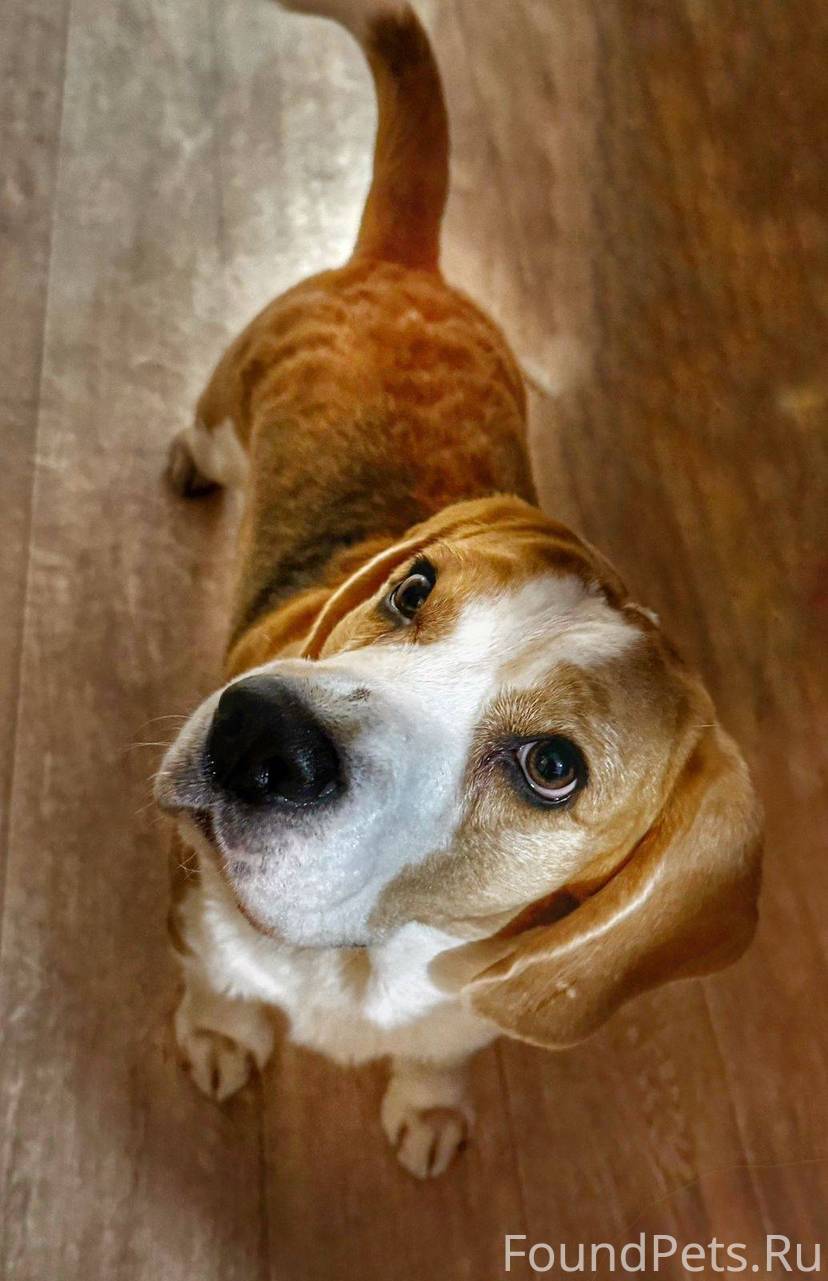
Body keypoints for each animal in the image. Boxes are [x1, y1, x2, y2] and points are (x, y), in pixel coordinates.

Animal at [156, 0, 762, 1179]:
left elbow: (439, 1055)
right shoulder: (198, 917)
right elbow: (222, 988)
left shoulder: (467, 1009)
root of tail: (404, 265)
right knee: (206, 424)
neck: (361, 959)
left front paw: (429, 1105)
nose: (257, 731)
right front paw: (221, 1036)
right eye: (414, 586)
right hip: (231, 386)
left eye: (553, 768)